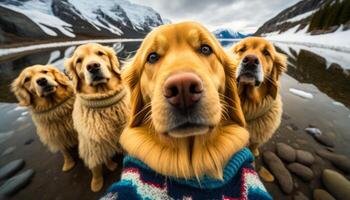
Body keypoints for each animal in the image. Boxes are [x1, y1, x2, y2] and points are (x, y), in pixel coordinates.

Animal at [64, 43, 130, 192]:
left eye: (100, 53)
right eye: (79, 60)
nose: (93, 66)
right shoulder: (91, 145)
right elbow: (96, 168)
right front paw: (96, 183)